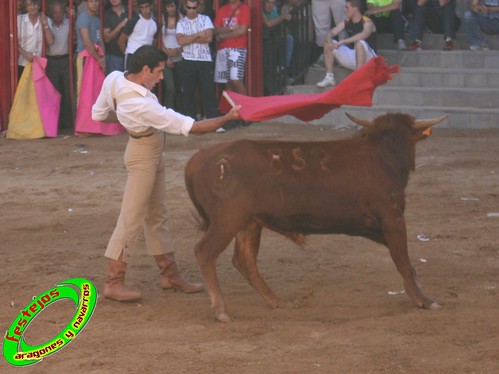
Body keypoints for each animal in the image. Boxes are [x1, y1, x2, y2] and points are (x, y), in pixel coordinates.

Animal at [186, 112, 448, 322]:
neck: (384, 155)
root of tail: (202, 157)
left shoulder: (376, 226)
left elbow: (407, 264)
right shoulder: (393, 218)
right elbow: (403, 261)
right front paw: (425, 301)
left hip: (248, 223)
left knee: (245, 260)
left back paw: (276, 301)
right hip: (227, 221)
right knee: (205, 252)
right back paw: (221, 310)